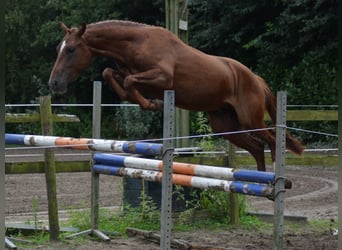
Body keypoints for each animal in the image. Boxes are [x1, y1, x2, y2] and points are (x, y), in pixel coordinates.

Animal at [48, 20, 304, 171]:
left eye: (71, 49)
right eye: (58, 48)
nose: (54, 83)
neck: (136, 43)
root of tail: (257, 80)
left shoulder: (162, 77)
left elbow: (130, 82)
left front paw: (154, 105)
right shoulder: (128, 72)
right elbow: (110, 73)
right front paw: (147, 102)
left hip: (250, 120)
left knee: (272, 139)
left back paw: (276, 176)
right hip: (226, 124)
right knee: (257, 147)